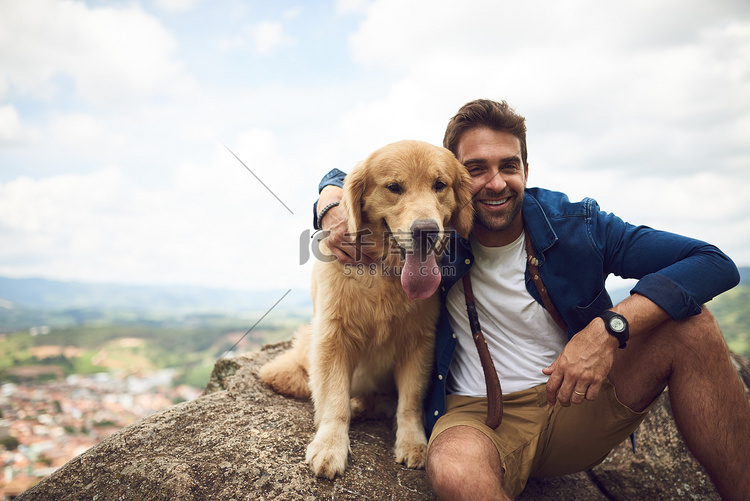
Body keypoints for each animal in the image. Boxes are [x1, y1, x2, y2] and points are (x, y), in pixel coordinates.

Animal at [262, 140, 472, 476]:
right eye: (394, 187)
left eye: (440, 185)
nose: (426, 230)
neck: (386, 271)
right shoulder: (333, 335)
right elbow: (334, 399)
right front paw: (330, 445)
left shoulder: (419, 340)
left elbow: (410, 401)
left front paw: (413, 442)